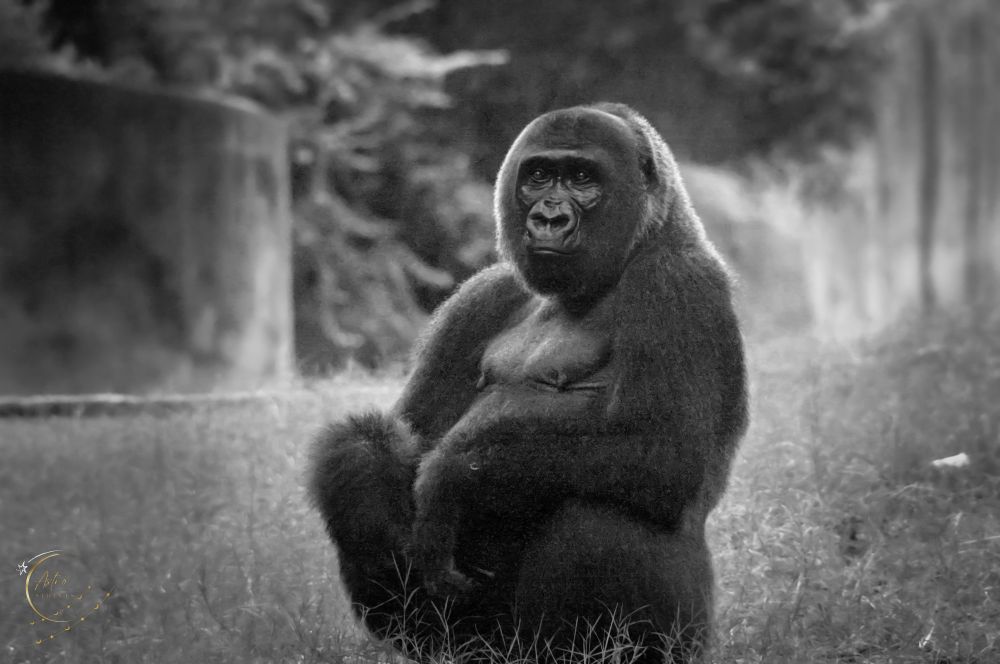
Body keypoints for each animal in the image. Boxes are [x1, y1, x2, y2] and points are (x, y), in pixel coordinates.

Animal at [309, 102, 748, 663]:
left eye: (582, 178)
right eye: (539, 175)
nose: (548, 218)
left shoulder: (678, 285)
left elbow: (664, 454)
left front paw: (454, 476)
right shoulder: (480, 297)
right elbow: (406, 432)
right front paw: (362, 476)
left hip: (685, 639)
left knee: (599, 509)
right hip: (470, 645)